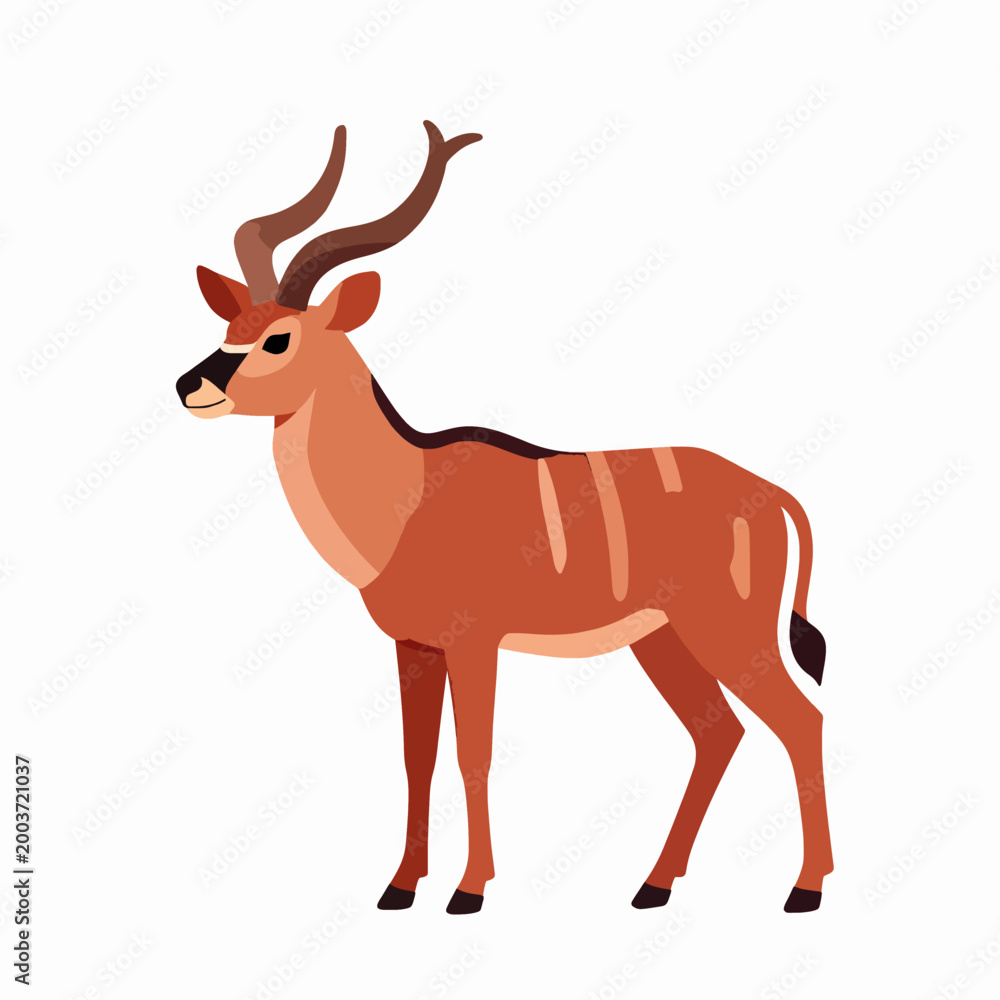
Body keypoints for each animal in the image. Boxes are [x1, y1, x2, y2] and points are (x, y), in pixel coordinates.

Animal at [176, 121, 833, 915]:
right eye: (230, 322)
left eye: (279, 338)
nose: (189, 385)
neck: (410, 492)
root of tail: (776, 496)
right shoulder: (415, 646)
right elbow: (417, 758)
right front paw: (399, 888)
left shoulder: (475, 643)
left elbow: (473, 754)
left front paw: (468, 891)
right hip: (664, 640)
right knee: (720, 734)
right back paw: (652, 886)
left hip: (726, 631)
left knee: (800, 721)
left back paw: (804, 890)